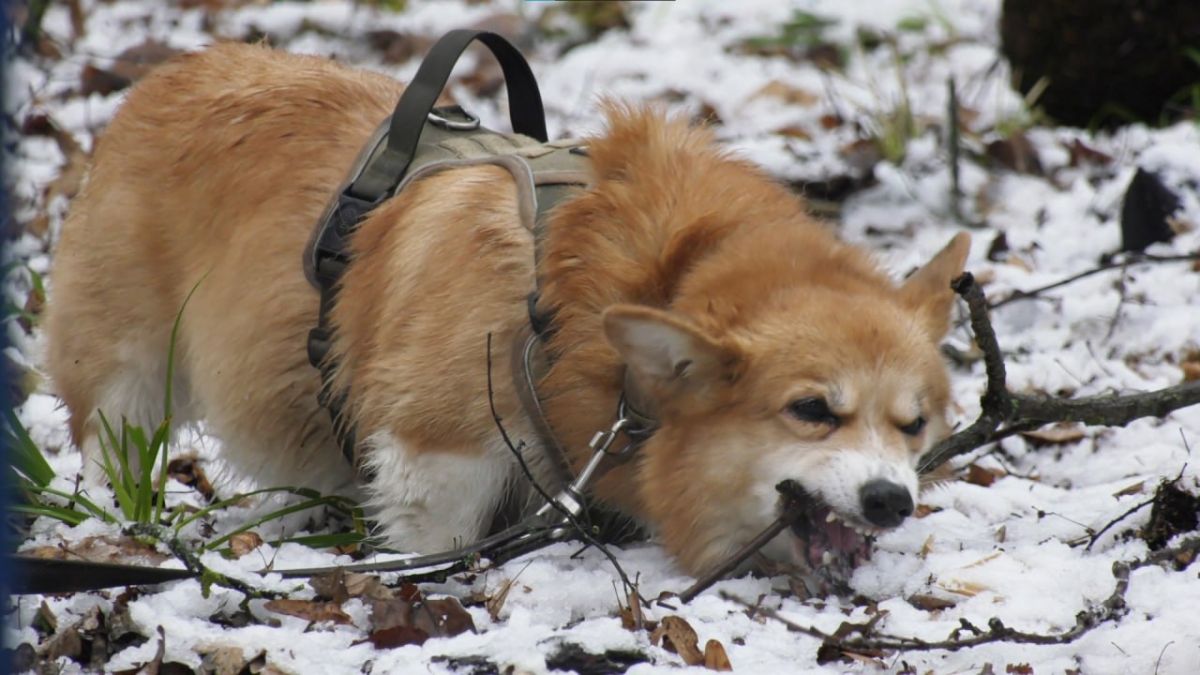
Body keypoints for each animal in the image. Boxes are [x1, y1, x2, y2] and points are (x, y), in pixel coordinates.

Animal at [42, 42, 969, 576]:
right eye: (813, 410)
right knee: (112, 444)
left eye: (913, 424)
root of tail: (171, 72)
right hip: (128, 373)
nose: (892, 500)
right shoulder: (437, 450)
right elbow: (438, 541)